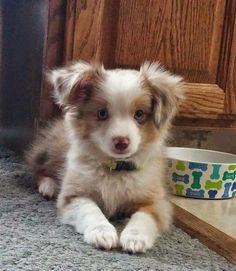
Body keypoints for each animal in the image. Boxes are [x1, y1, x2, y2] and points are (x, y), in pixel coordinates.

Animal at [26, 60, 183, 254]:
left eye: (139, 114)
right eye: (102, 113)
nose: (121, 142)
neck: (116, 168)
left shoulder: (157, 203)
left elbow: (142, 217)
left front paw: (135, 238)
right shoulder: (74, 195)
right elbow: (90, 210)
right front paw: (102, 233)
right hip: (48, 150)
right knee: (35, 168)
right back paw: (48, 185)